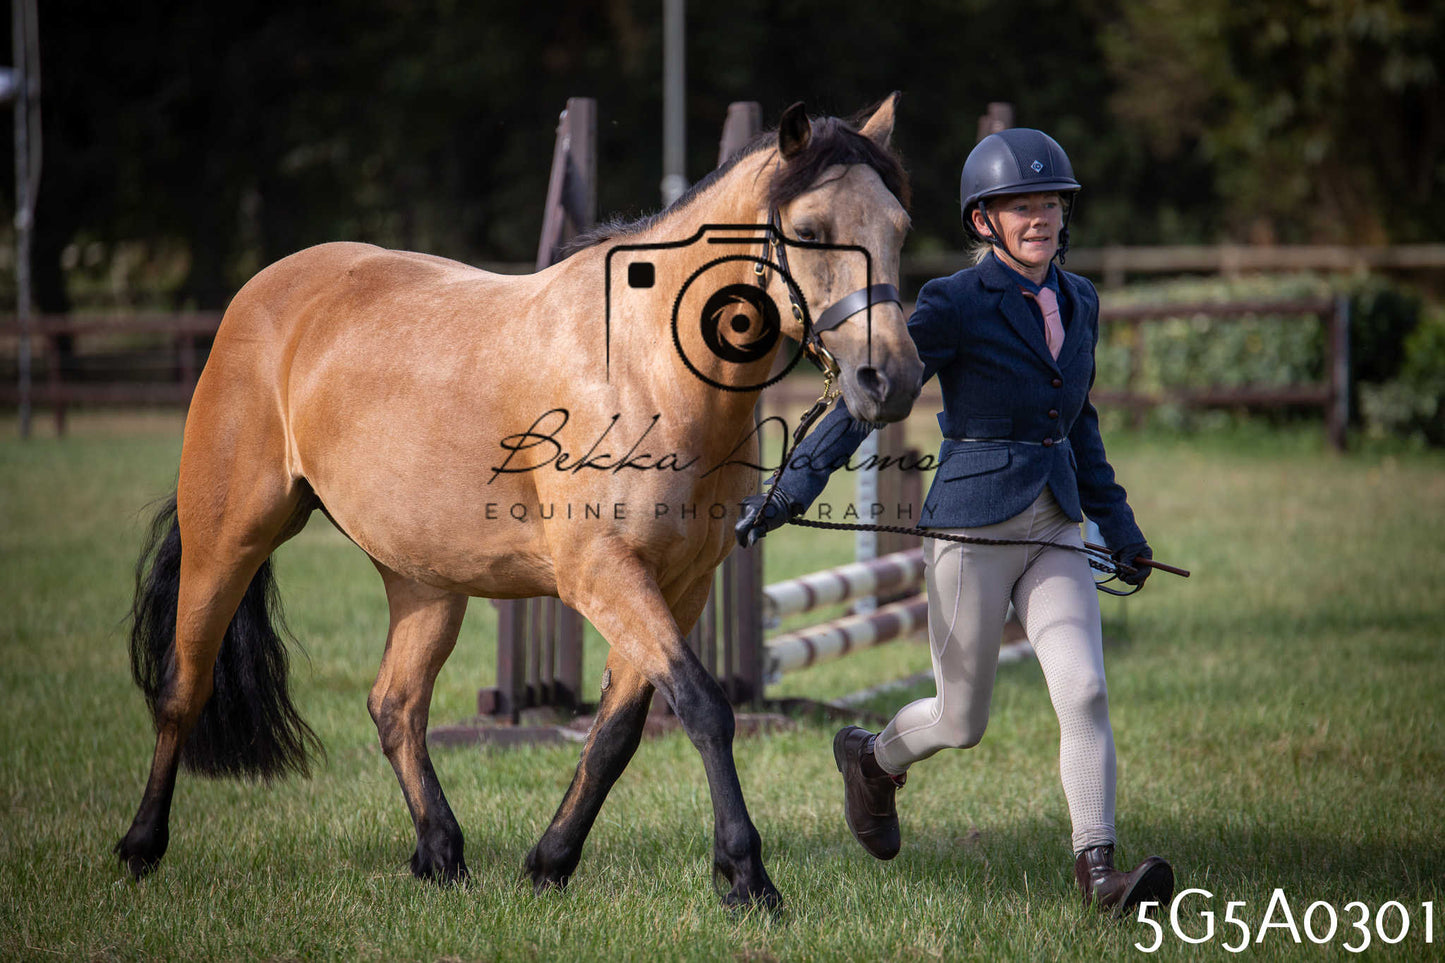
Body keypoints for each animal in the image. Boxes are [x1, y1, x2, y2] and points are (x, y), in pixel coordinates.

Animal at [116, 96, 923, 909]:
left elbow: (616, 733)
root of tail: (263, 295)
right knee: (184, 686)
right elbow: (702, 705)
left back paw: (441, 854)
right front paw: (747, 876)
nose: (890, 379)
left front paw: (550, 862)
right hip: (230, 540)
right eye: (811, 230)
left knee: (395, 705)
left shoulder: (679, 585)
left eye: (898, 228)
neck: (645, 368)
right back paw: (141, 847)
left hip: (424, 579)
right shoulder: (602, 573)